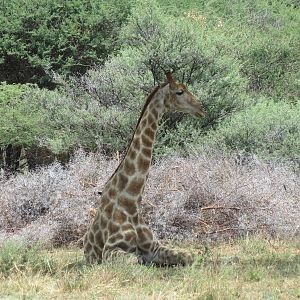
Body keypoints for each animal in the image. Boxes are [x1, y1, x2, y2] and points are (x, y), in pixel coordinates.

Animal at [84, 72, 206, 264]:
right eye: (179, 91)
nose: (201, 109)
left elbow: (188, 256)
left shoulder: (154, 247)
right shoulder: (110, 250)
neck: (132, 201)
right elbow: (135, 260)